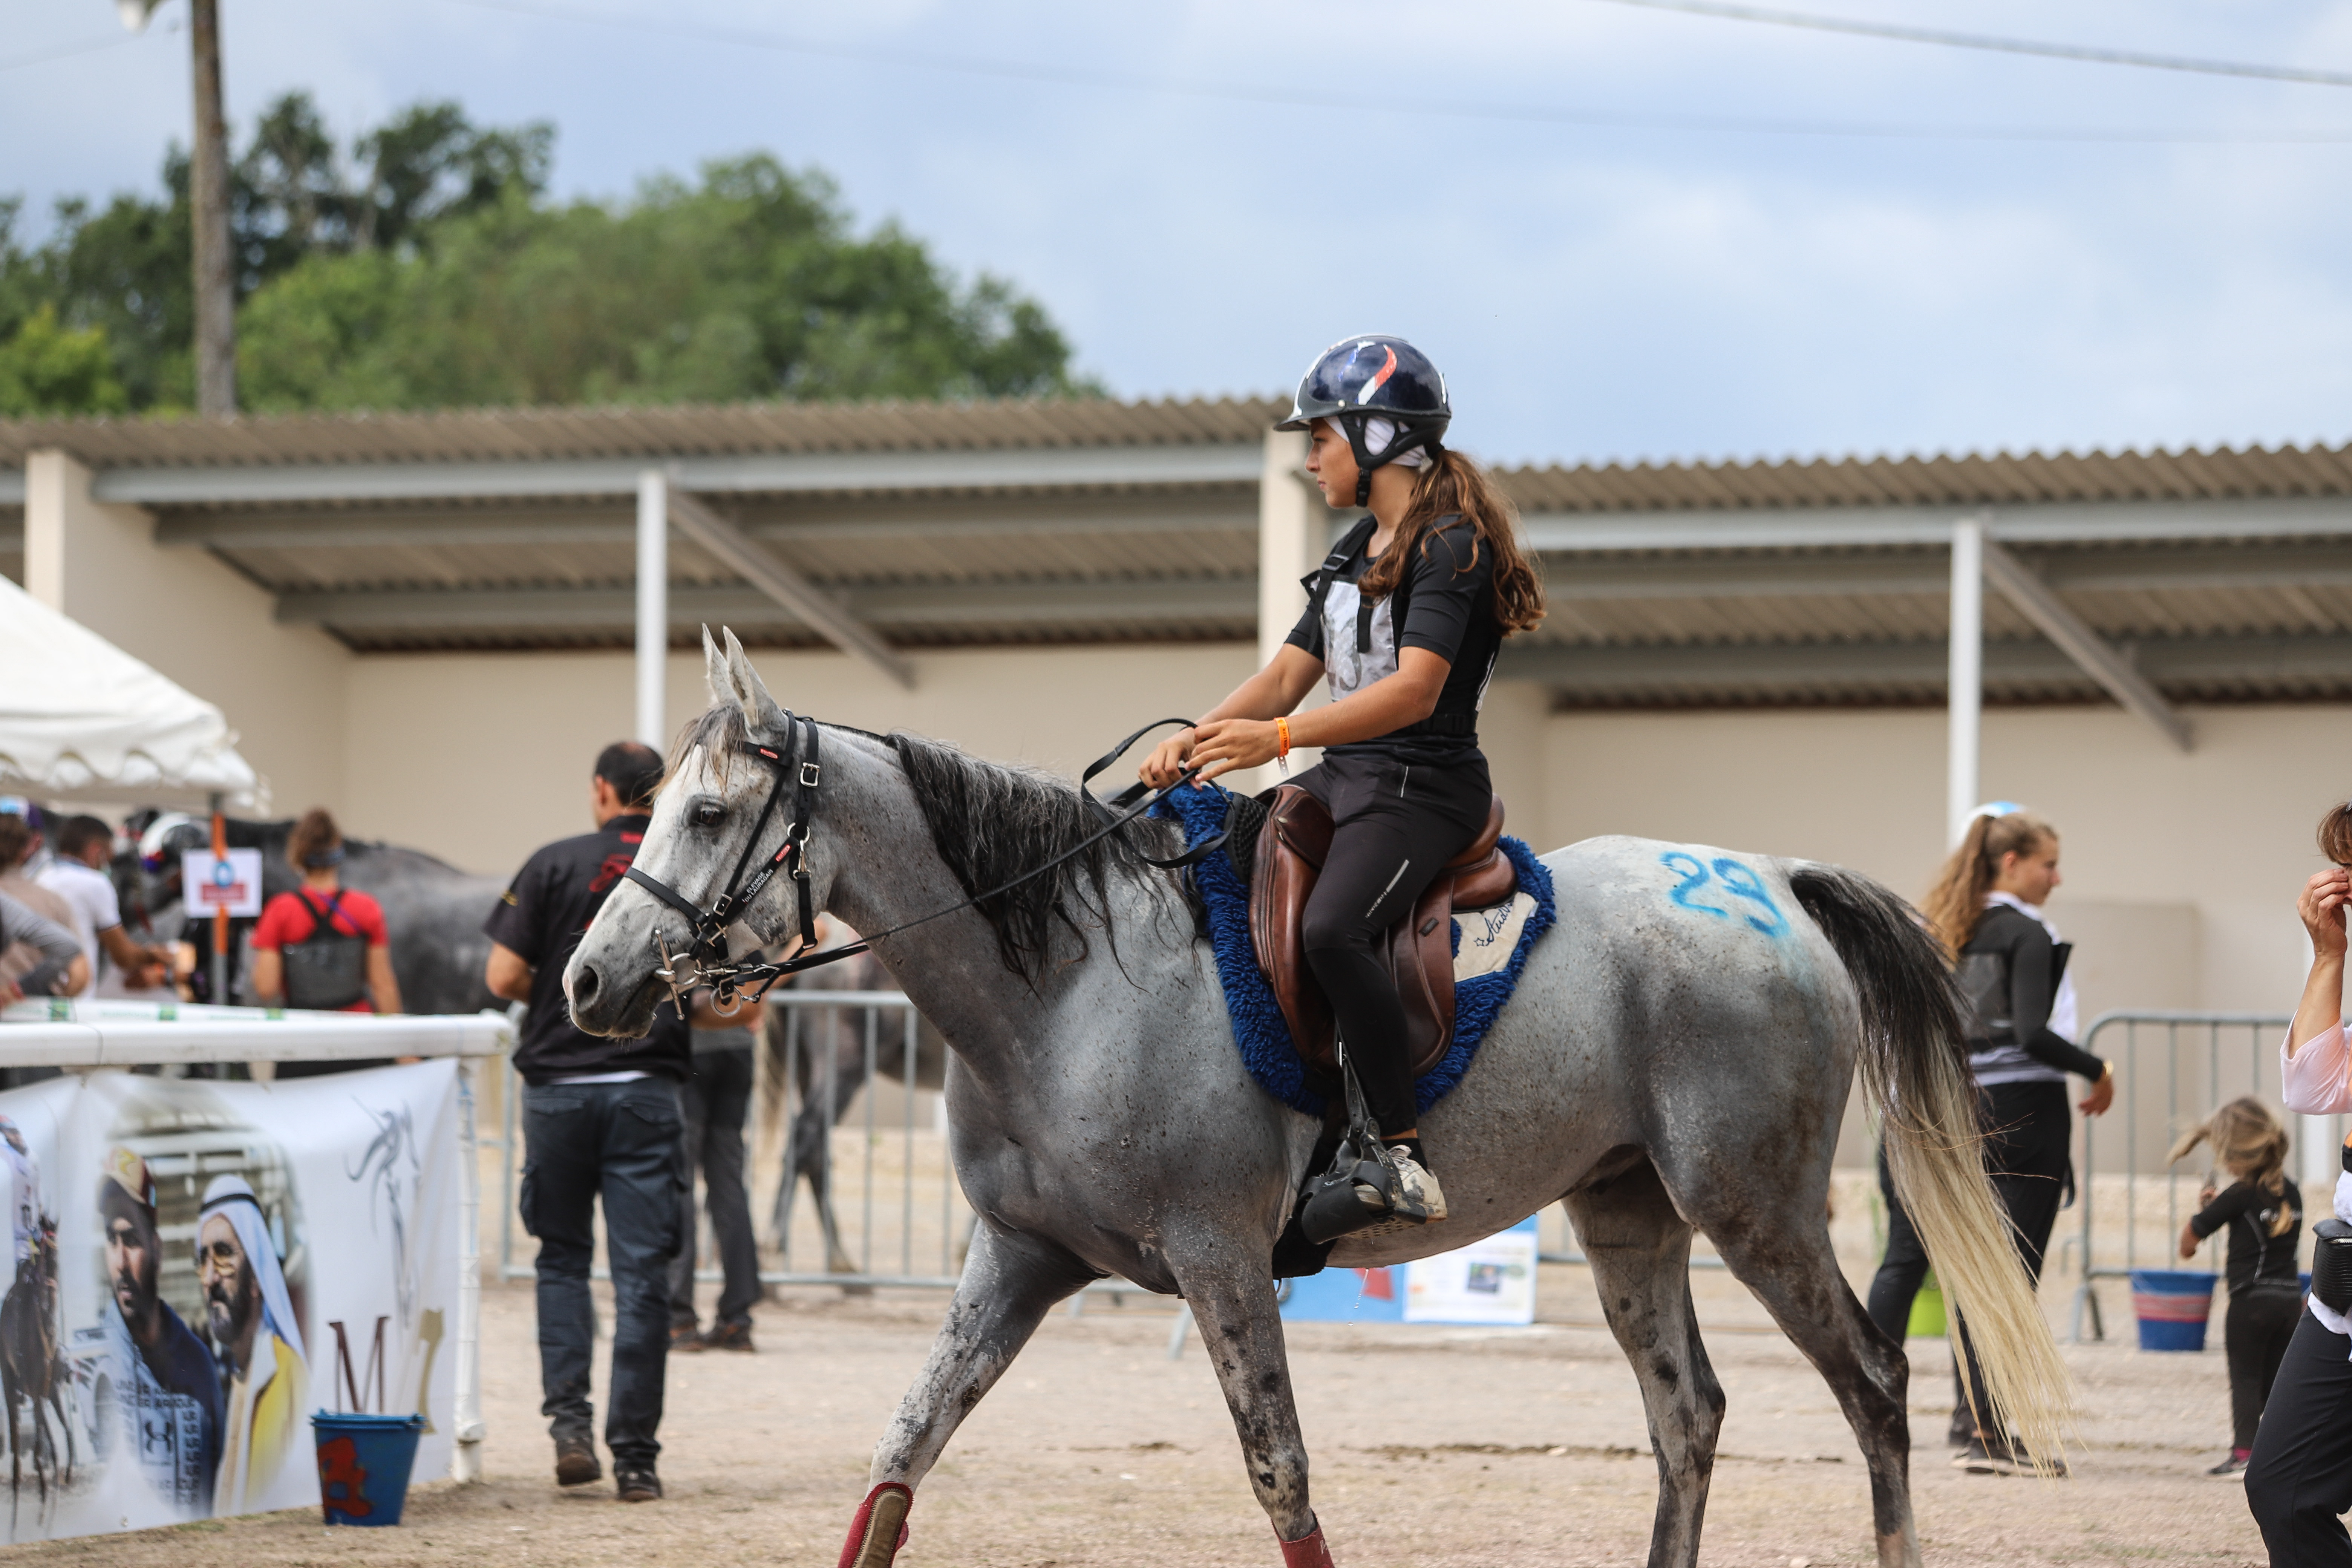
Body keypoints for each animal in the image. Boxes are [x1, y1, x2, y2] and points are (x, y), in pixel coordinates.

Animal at [564, 630, 2060, 1568]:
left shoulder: (1223, 1260)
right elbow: (898, 1458)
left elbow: (1280, 1475)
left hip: (1752, 1209)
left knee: (1873, 1386)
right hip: (1629, 1216)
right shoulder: (1016, 1261)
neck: (1063, 983)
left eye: (708, 818)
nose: (589, 978)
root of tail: (1769, 880)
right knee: (1687, 1416)